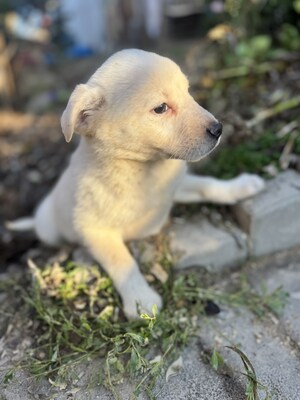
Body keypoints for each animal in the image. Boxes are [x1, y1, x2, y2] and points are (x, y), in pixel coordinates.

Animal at [8, 50, 264, 318]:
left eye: (187, 91)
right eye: (161, 108)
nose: (218, 129)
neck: (141, 170)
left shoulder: (175, 186)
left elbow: (207, 185)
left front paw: (240, 186)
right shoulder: (93, 229)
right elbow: (122, 261)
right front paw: (140, 298)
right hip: (51, 228)